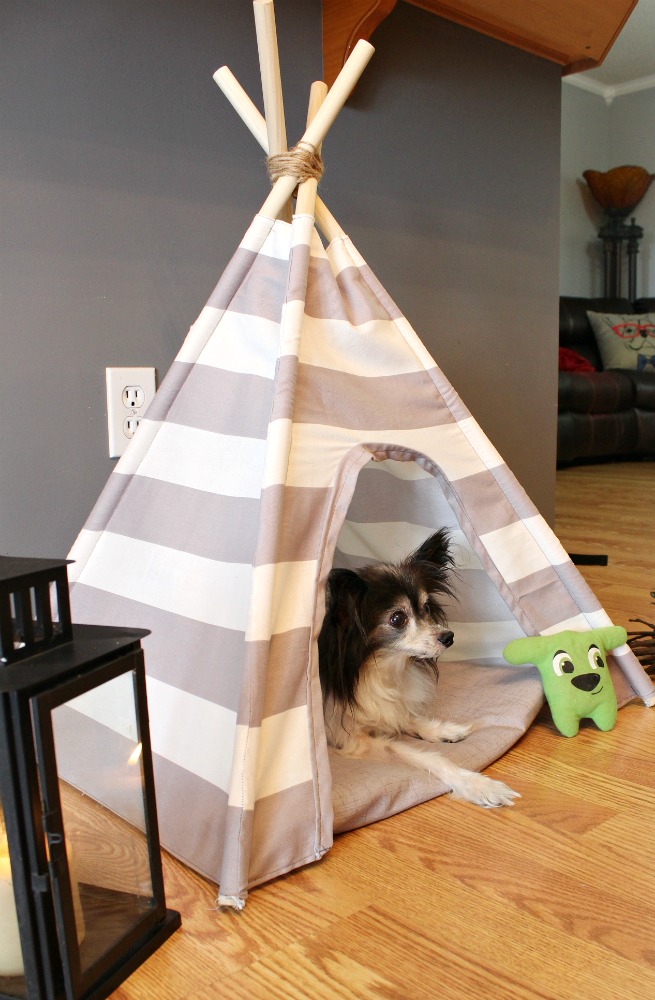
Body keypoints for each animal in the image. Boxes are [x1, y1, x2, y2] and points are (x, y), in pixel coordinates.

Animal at [320, 528, 520, 808]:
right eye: (397, 618)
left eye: (426, 607)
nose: (449, 637)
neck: (377, 668)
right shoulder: (350, 738)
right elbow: (425, 756)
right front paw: (477, 785)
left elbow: (405, 716)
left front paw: (444, 730)